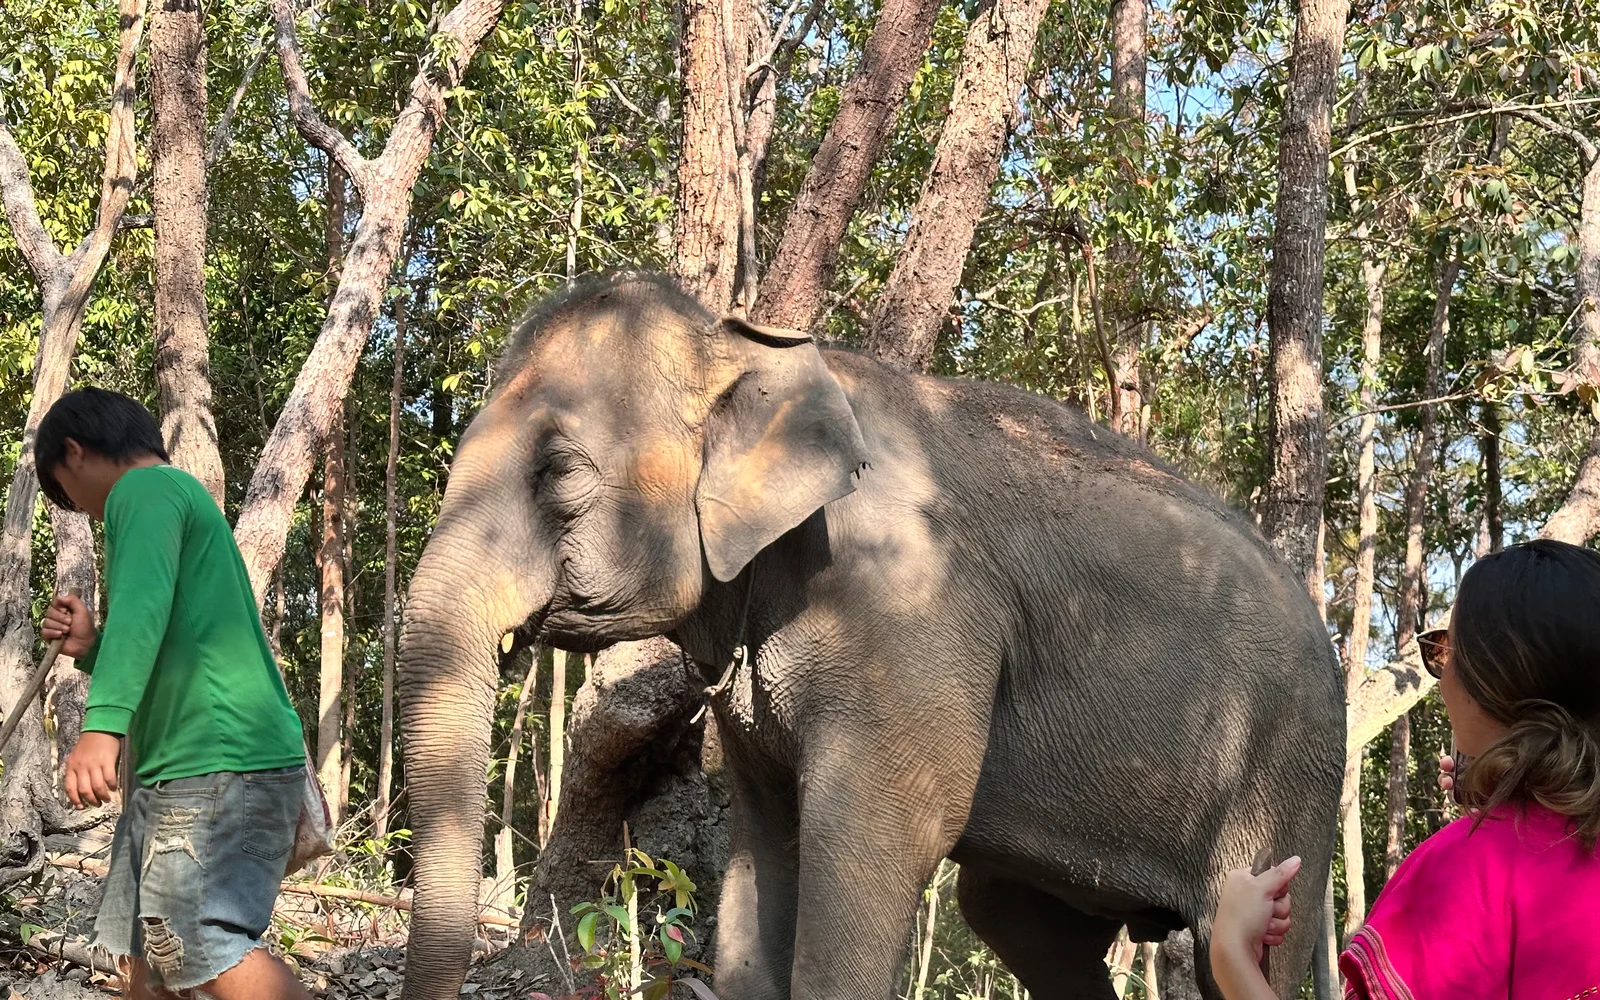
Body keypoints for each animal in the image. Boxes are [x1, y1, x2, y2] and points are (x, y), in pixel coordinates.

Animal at [397, 273, 1344, 1000]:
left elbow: (890, 827)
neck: (749, 345)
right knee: (1008, 913)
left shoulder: (908, 610)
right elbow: (767, 837)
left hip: (1284, 782)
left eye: (559, 474)